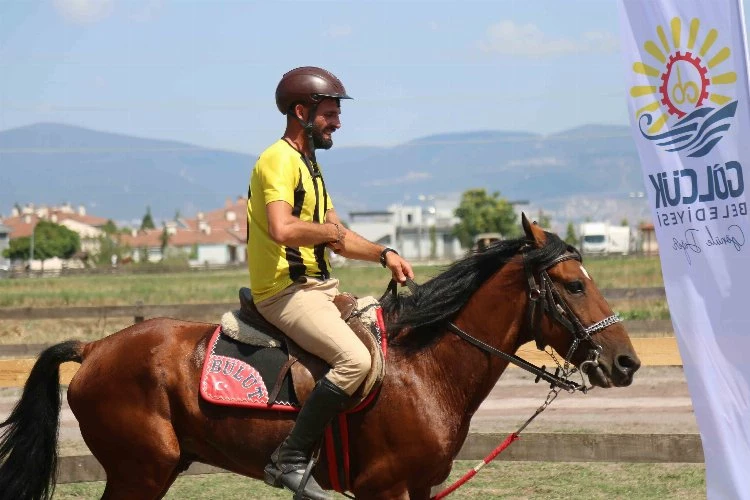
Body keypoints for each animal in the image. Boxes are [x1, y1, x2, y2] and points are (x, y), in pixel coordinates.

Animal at [2, 218, 644, 500]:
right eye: (574, 284)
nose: (626, 364)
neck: (426, 366)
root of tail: (95, 347)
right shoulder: (386, 492)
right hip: (141, 472)